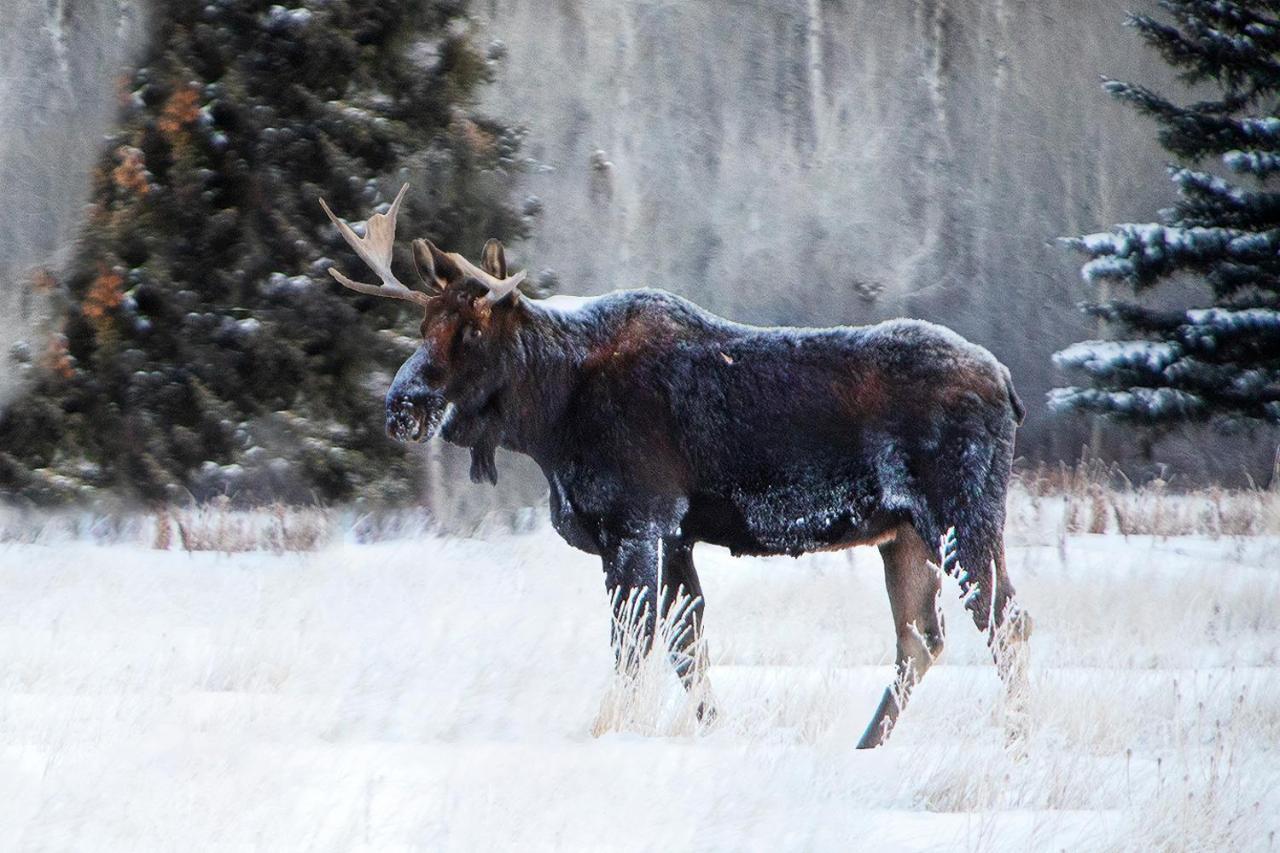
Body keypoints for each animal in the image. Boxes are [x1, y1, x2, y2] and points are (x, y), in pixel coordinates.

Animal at [317, 184, 1029, 742]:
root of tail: (1007, 384)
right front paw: (714, 730)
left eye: (470, 330)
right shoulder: (678, 536)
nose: (400, 406)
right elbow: (688, 650)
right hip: (902, 535)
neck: (551, 423)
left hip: (961, 514)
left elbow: (632, 651)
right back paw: (867, 745)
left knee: (1006, 625)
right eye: (422, 328)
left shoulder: (637, 523)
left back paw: (1018, 743)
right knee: (921, 638)